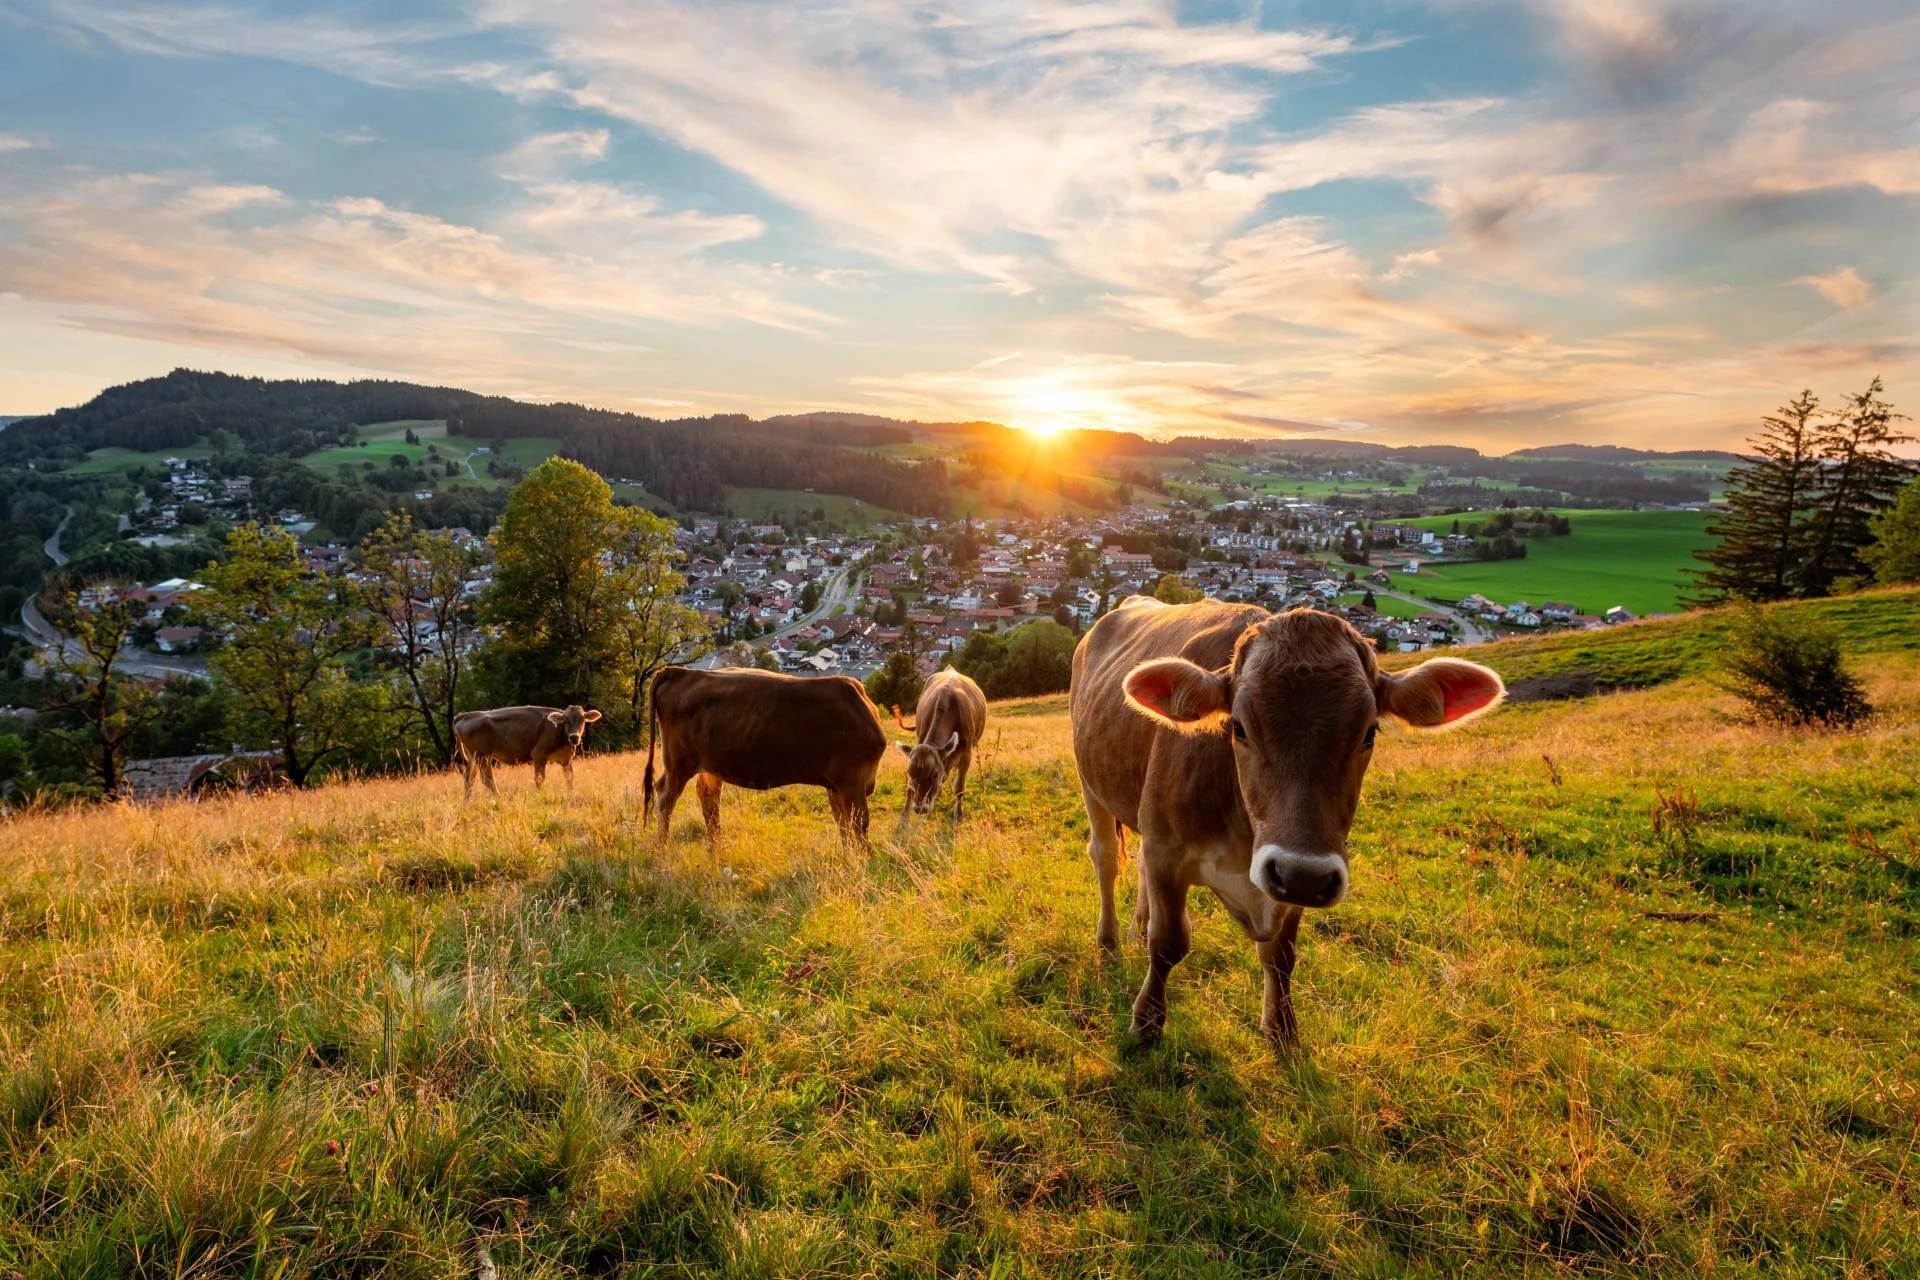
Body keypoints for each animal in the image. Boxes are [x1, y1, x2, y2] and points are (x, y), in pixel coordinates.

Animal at [453, 704, 602, 799]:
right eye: (565, 720)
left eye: (582, 719)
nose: (574, 737)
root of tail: (465, 715)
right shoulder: (539, 754)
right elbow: (539, 779)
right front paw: (541, 796)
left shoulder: (566, 758)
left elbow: (569, 777)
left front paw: (570, 795)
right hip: (483, 756)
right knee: (487, 779)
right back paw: (499, 799)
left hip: (474, 757)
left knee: (469, 779)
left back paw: (467, 803)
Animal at [644, 666, 889, 848]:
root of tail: (680, 671)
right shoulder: (851, 779)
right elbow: (860, 823)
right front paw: (863, 860)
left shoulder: (835, 785)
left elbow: (844, 825)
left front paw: (850, 857)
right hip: (679, 762)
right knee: (666, 796)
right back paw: (662, 846)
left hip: (709, 764)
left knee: (708, 795)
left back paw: (717, 846)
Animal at [891, 667, 988, 842]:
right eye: (910, 773)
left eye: (934, 775)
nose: (920, 809)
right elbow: (910, 788)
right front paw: (903, 821)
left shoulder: (966, 755)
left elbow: (959, 787)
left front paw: (958, 815)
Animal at [1070, 598, 1503, 1047]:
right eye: (1238, 727)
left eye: (1370, 732)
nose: (1303, 875)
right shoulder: (1166, 851)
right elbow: (1168, 942)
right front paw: (1147, 1022)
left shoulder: (1297, 873)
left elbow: (1280, 956)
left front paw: (1281, 1030)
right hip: (1090, 784)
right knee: (1106, 860)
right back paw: (1109, 943)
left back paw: (1136, 927)